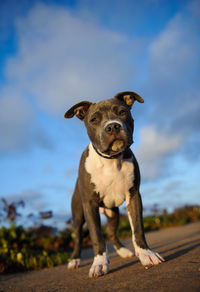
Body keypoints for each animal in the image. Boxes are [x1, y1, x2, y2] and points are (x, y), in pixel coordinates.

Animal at [64, 92, 164, 278]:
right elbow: (96, 235)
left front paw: (146, 253)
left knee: (110, 232)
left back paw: (123, 251)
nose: (112, 127)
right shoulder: (90, 205)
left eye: (122, 112)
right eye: (94, 119)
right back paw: (74, 260)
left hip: (113, 212)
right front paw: (99, 263)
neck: (111, 159)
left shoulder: (134, 196)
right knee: (78, 237)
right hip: (78, 214)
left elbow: (138, 228)